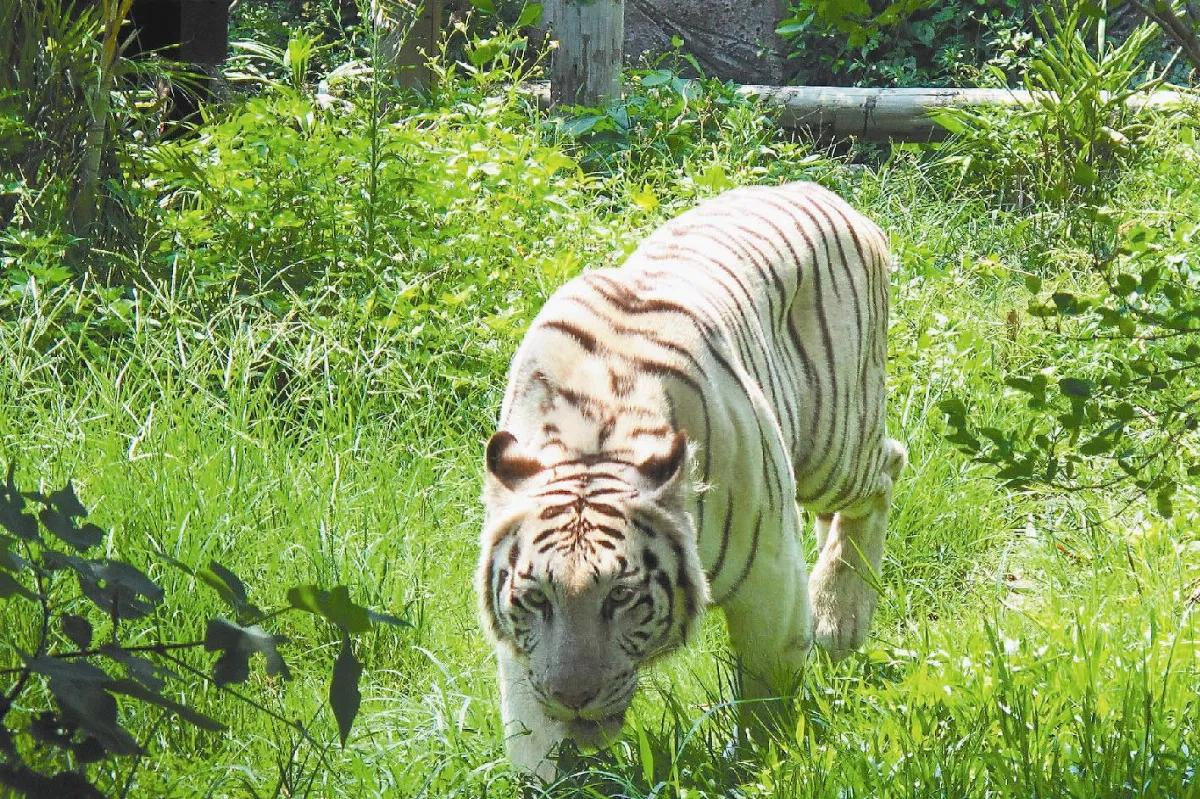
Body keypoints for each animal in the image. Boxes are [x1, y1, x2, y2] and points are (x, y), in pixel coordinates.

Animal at [476, 180, 907, 781]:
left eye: (622, 595)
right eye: (536, 598)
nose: (573, 698)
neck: (591, 441)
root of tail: (820, 189)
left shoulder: (770, 576)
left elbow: (766, 693)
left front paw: (763, 767)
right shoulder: (523, 647)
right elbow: (530, 732)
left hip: (836, 442)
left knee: (887, 468)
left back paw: (837, 619)